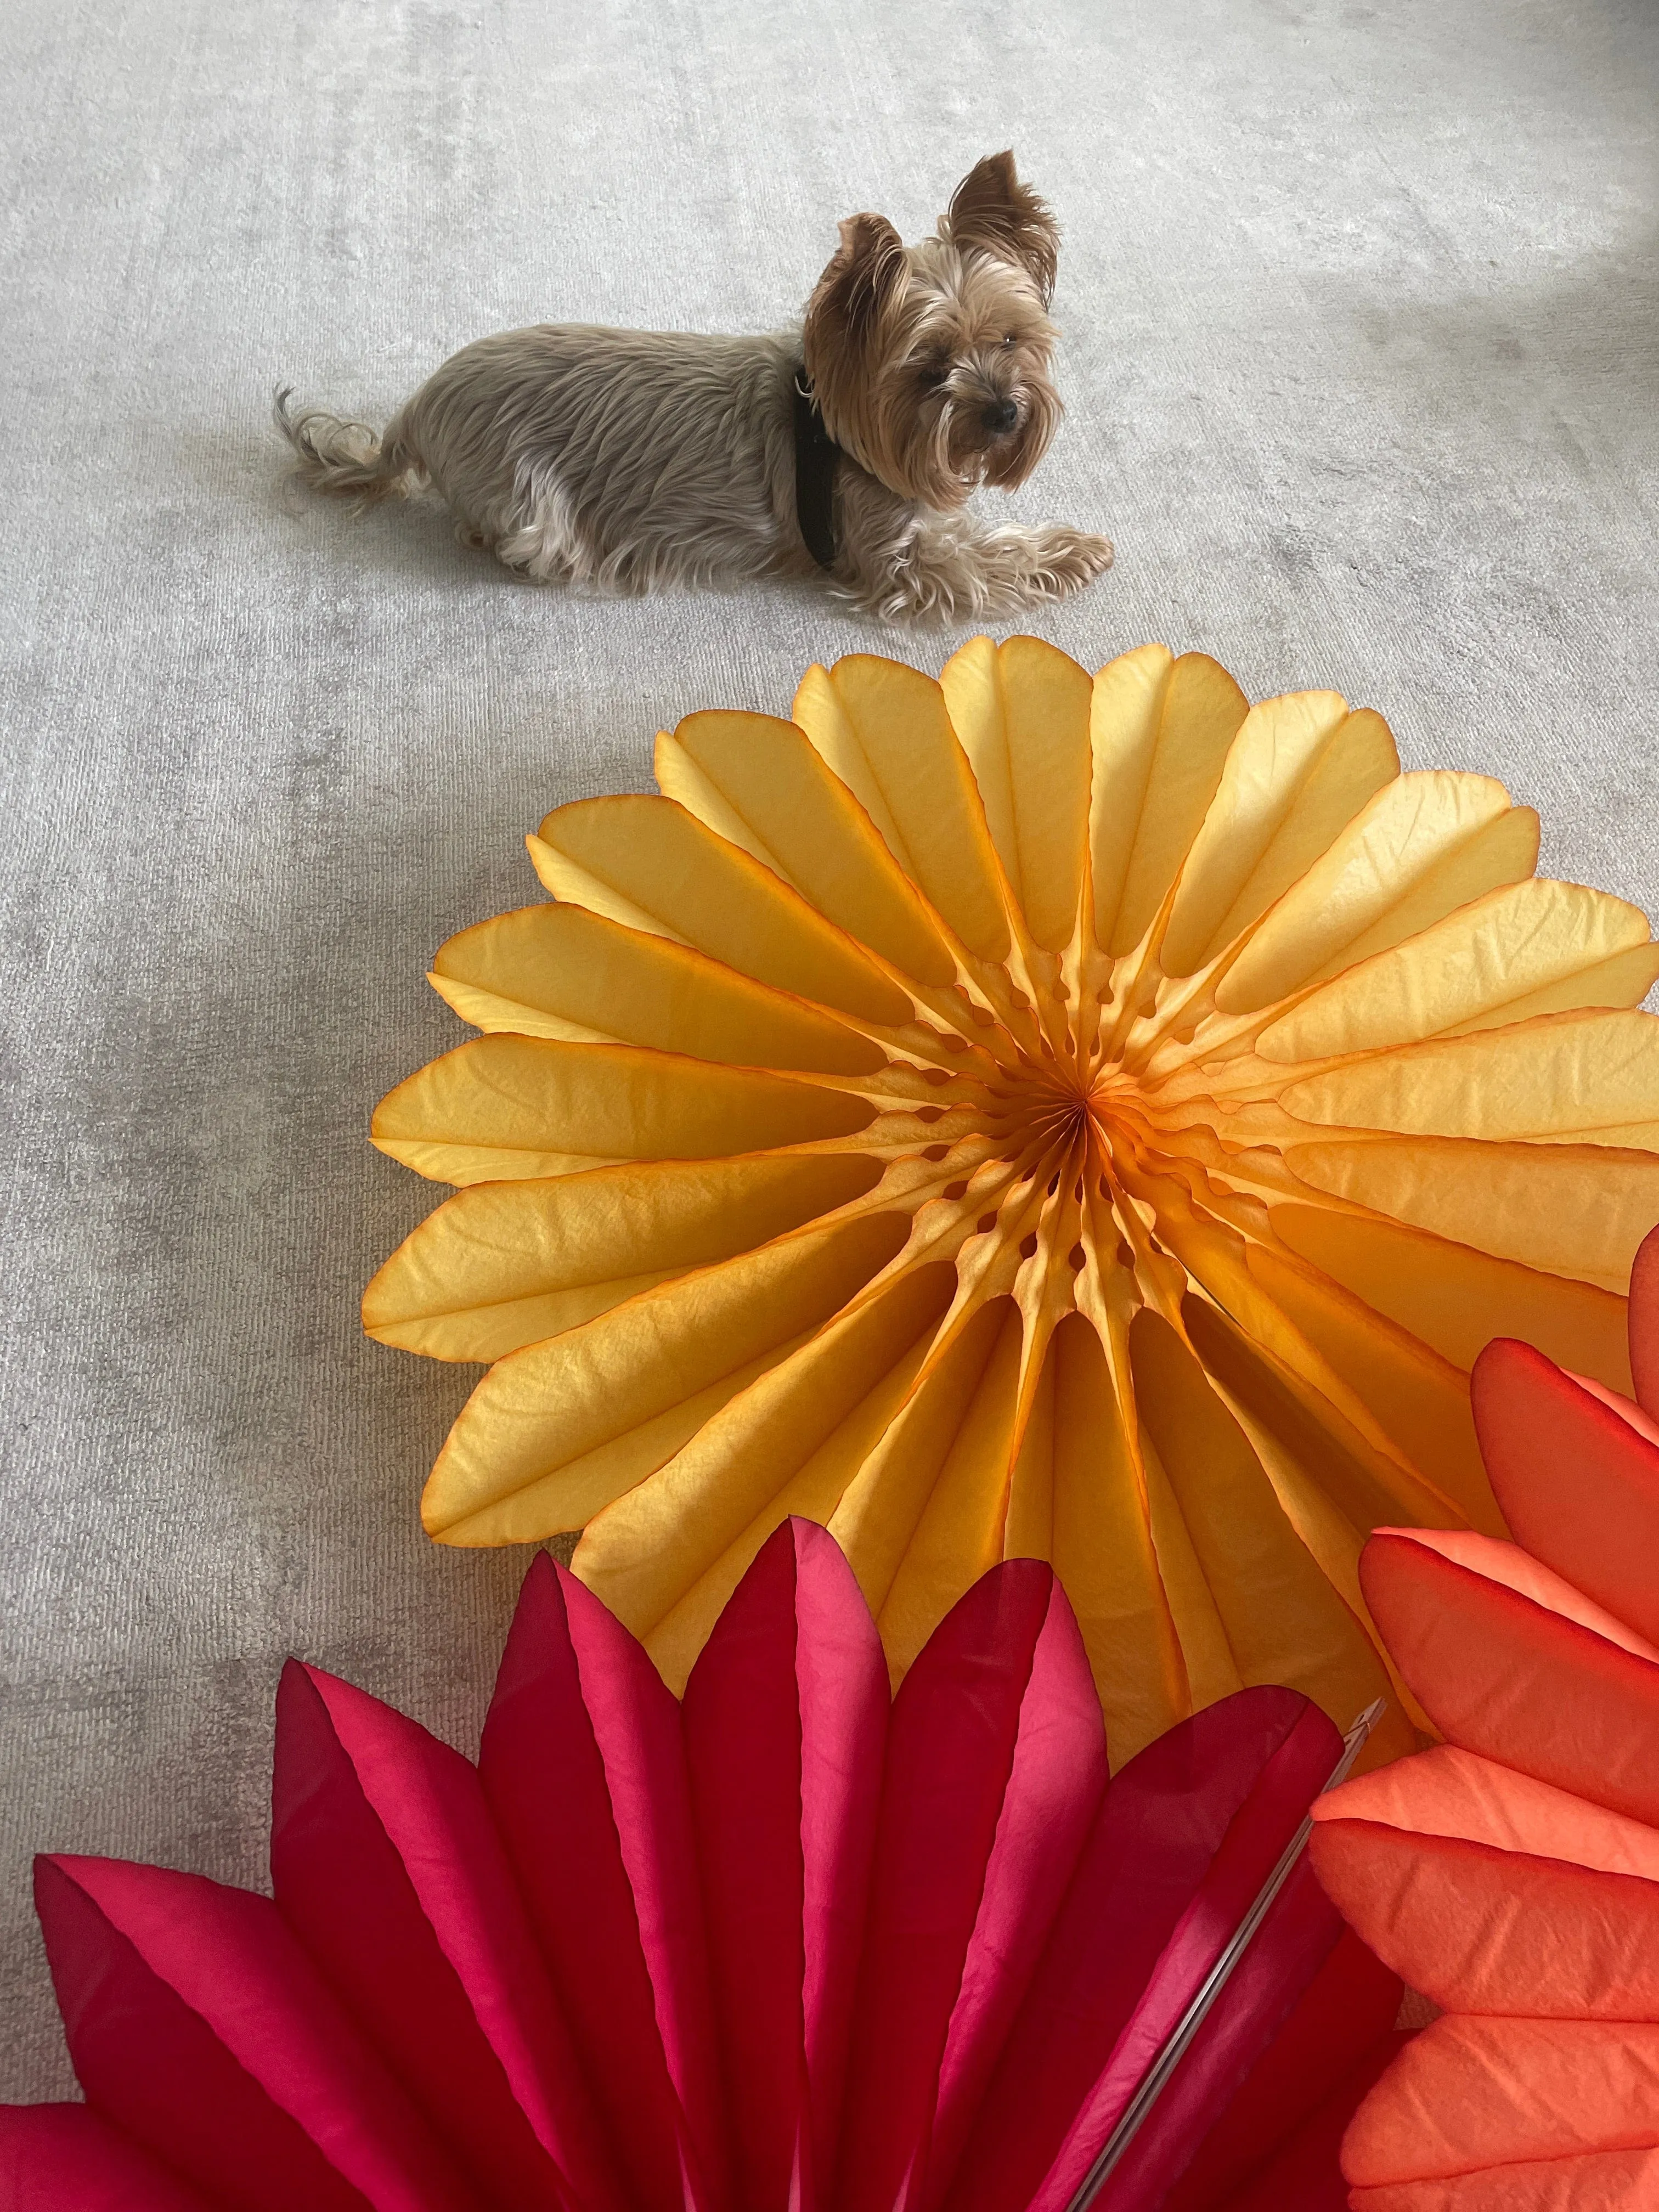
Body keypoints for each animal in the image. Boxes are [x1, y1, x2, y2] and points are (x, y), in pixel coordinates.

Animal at [276, 155, 1119, 624]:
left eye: (1009, 340)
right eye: (931, 368)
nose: (1007, 412)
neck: (838, 430)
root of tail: (415, 412)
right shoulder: (904, 562)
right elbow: (990, 561)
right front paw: (1078, 550)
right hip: (530, 510)